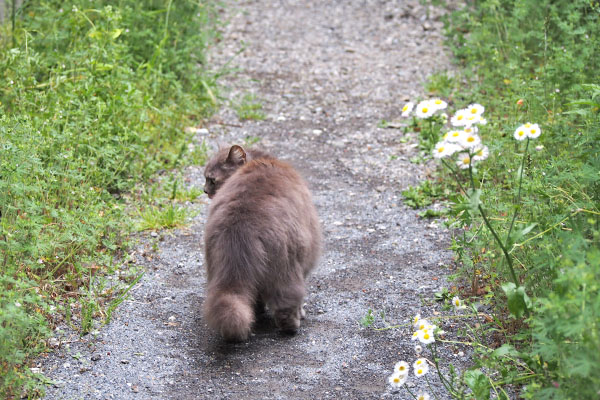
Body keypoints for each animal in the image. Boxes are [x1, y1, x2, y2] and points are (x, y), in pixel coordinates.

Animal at [203, 144, 324, 340]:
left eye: (211, 180)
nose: (204, 190)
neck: (263, 160)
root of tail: (239, 229)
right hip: (289, 269)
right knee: (287, 304)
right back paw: (292, 328)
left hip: (217, 269)